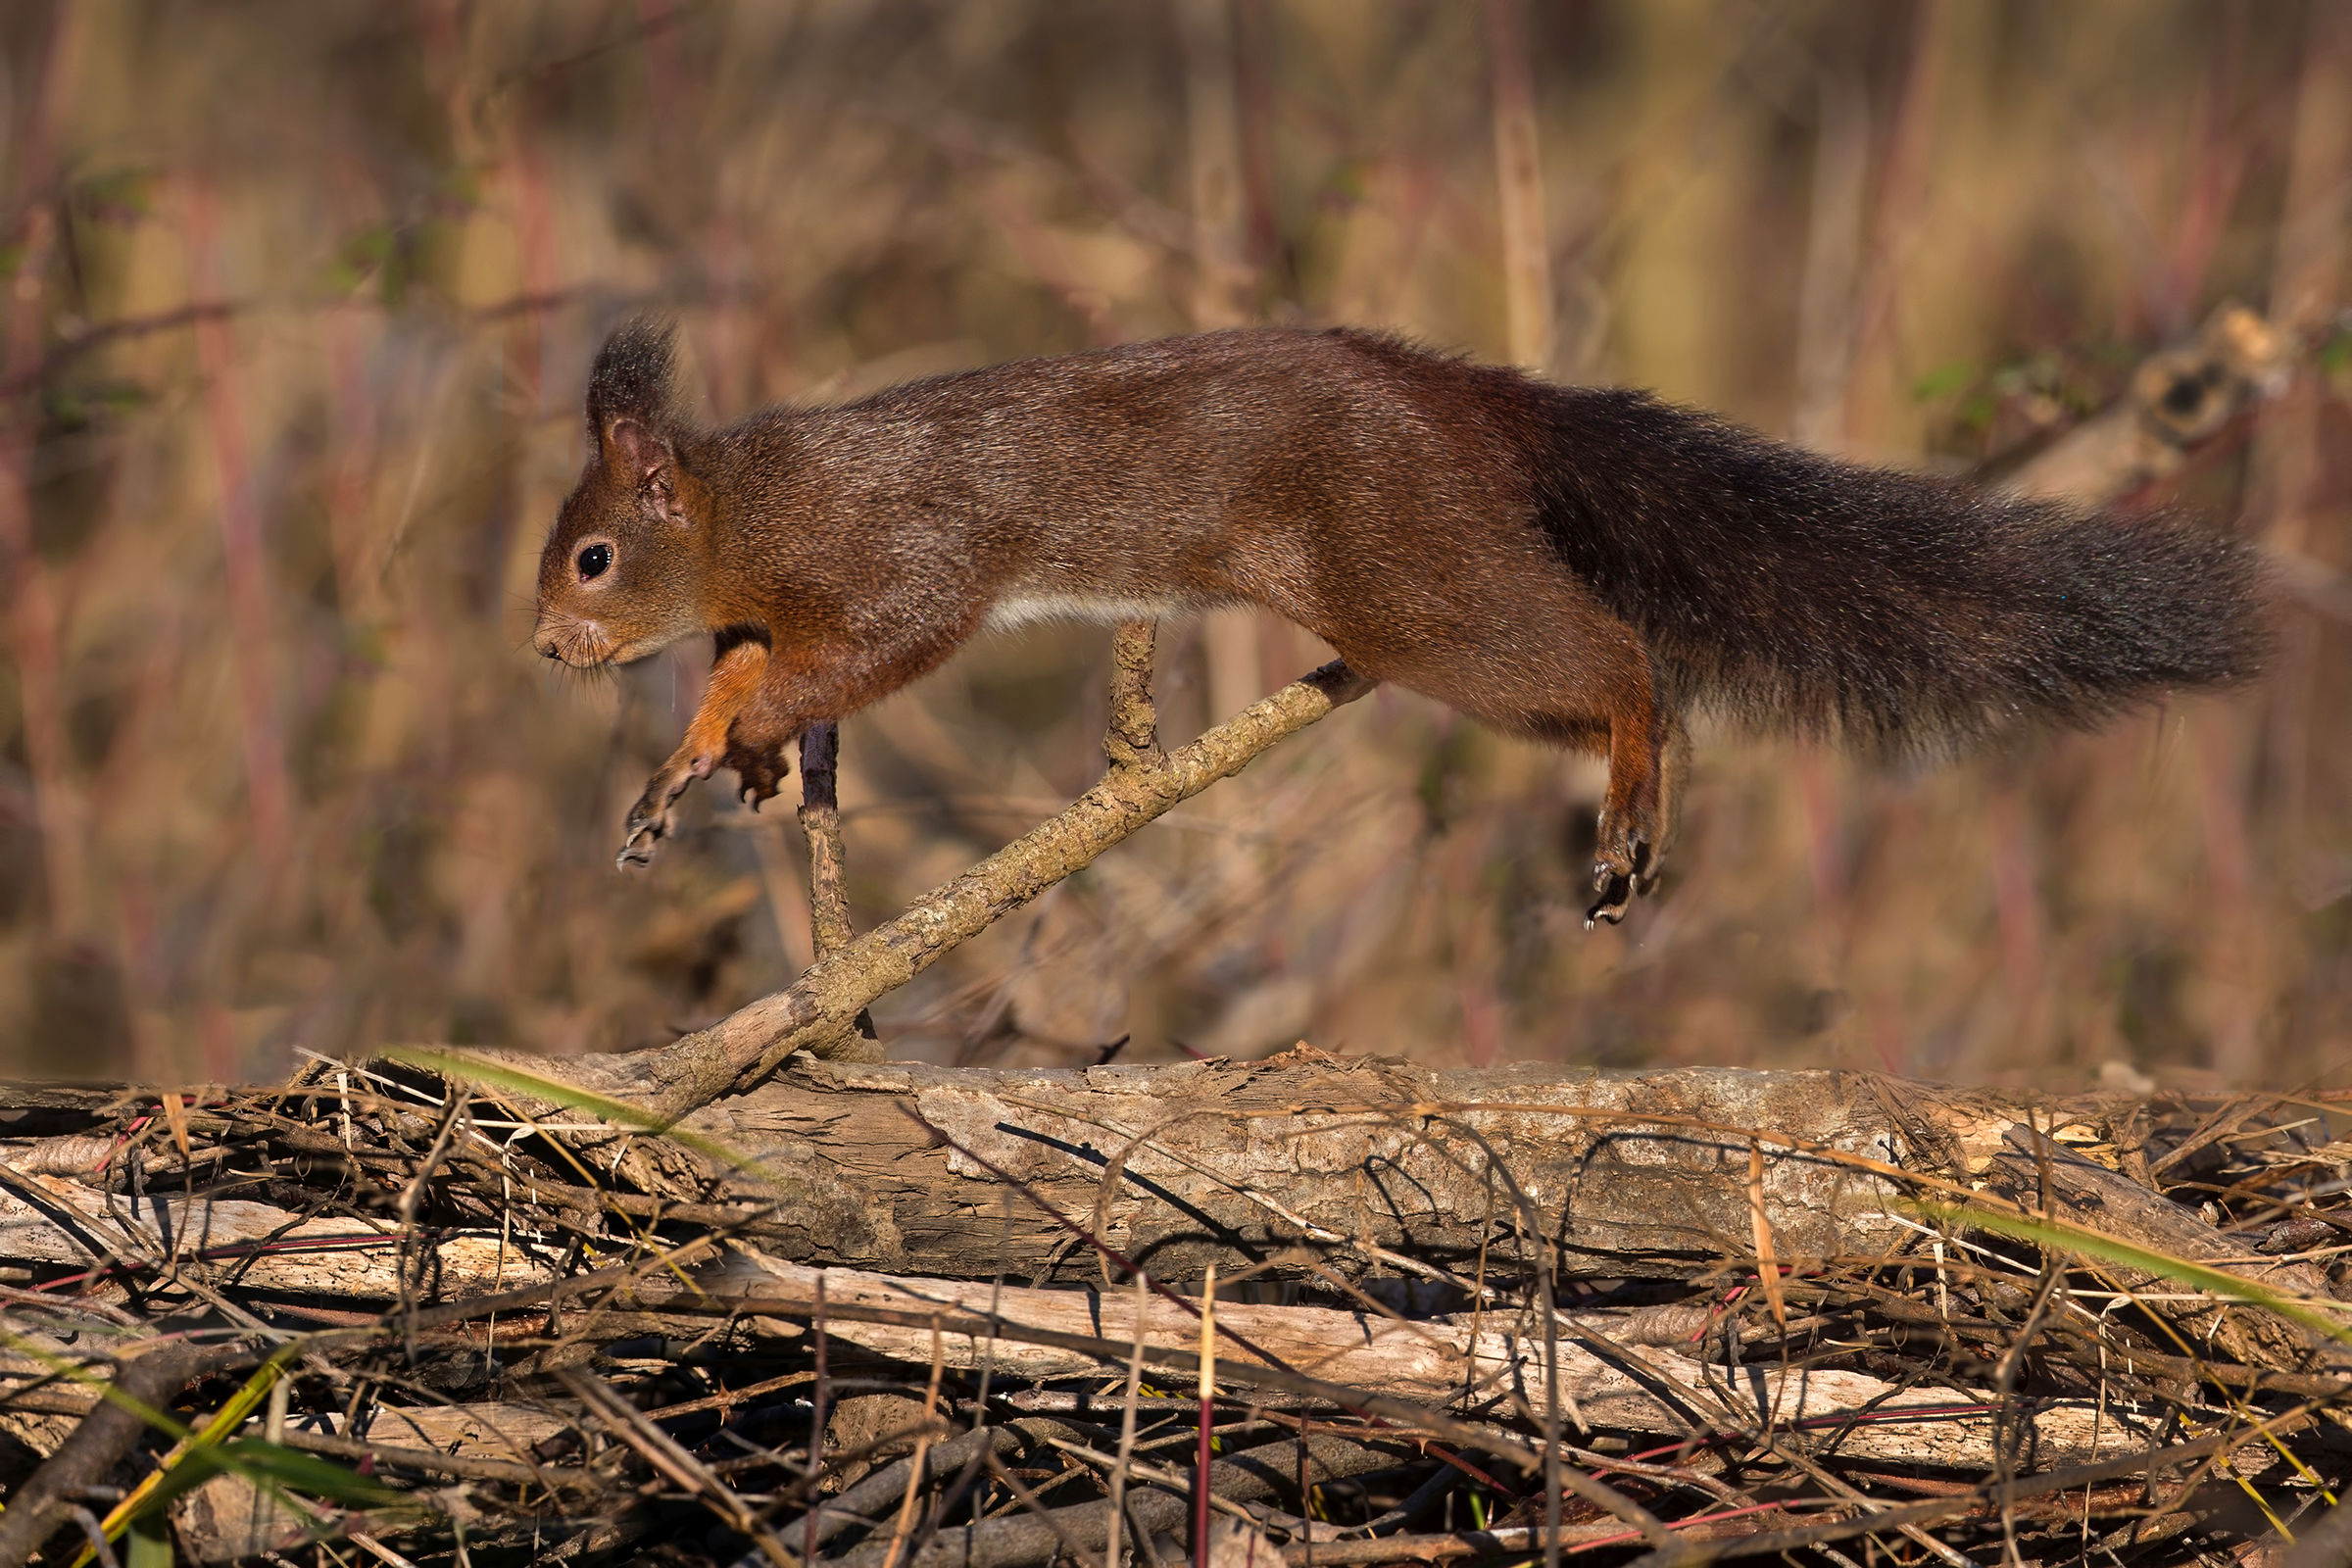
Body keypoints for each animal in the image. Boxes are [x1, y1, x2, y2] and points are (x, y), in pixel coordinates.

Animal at [533, 321, 2266, 925]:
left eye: (595, 558)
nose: (547, 653)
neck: (744, 512)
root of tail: (1462, 403)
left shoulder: (905, 556)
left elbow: (887, 639)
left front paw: (761, 736)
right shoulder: (760, 614)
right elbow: (731, 686)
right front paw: (698, 776)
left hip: (1409, 577)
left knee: (1620, 664)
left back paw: (1634, 795)